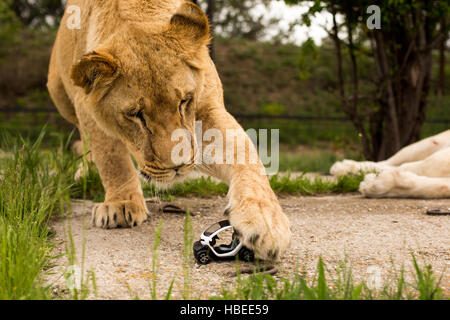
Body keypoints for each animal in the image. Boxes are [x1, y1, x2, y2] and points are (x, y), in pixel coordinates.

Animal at [46, 0, 292, 260]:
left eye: (184, 101)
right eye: (136, 115)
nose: (178, 167)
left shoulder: (206, 110)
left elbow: (244, 154)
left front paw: (265, 222)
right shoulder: (88, 108)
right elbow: (111, 159)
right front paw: (121, 204)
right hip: (59, 93)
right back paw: (84, 173)